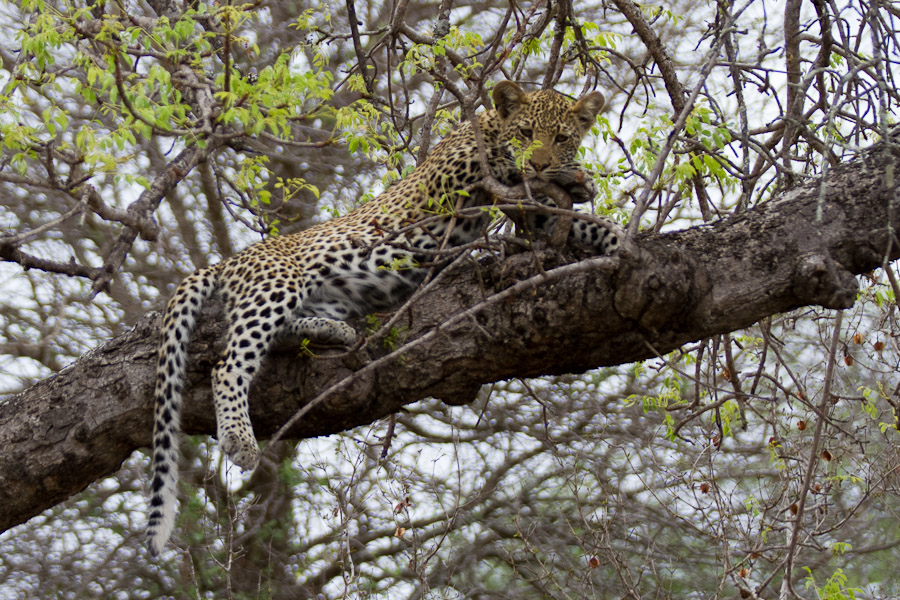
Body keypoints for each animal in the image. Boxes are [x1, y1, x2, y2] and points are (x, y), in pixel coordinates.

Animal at [148, 81, 624, 556]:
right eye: (525, 133)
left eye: (560, 137)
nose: (540, 162)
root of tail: (229, 260)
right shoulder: (451, 179)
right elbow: (500, 166)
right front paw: (563, 176)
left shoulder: (536, 210)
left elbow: (584, 222)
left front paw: (615, 229)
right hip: (278, 284)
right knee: (229, 364)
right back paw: (240, 440)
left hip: (326, 299)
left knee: (281, 335)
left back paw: (333, 331)